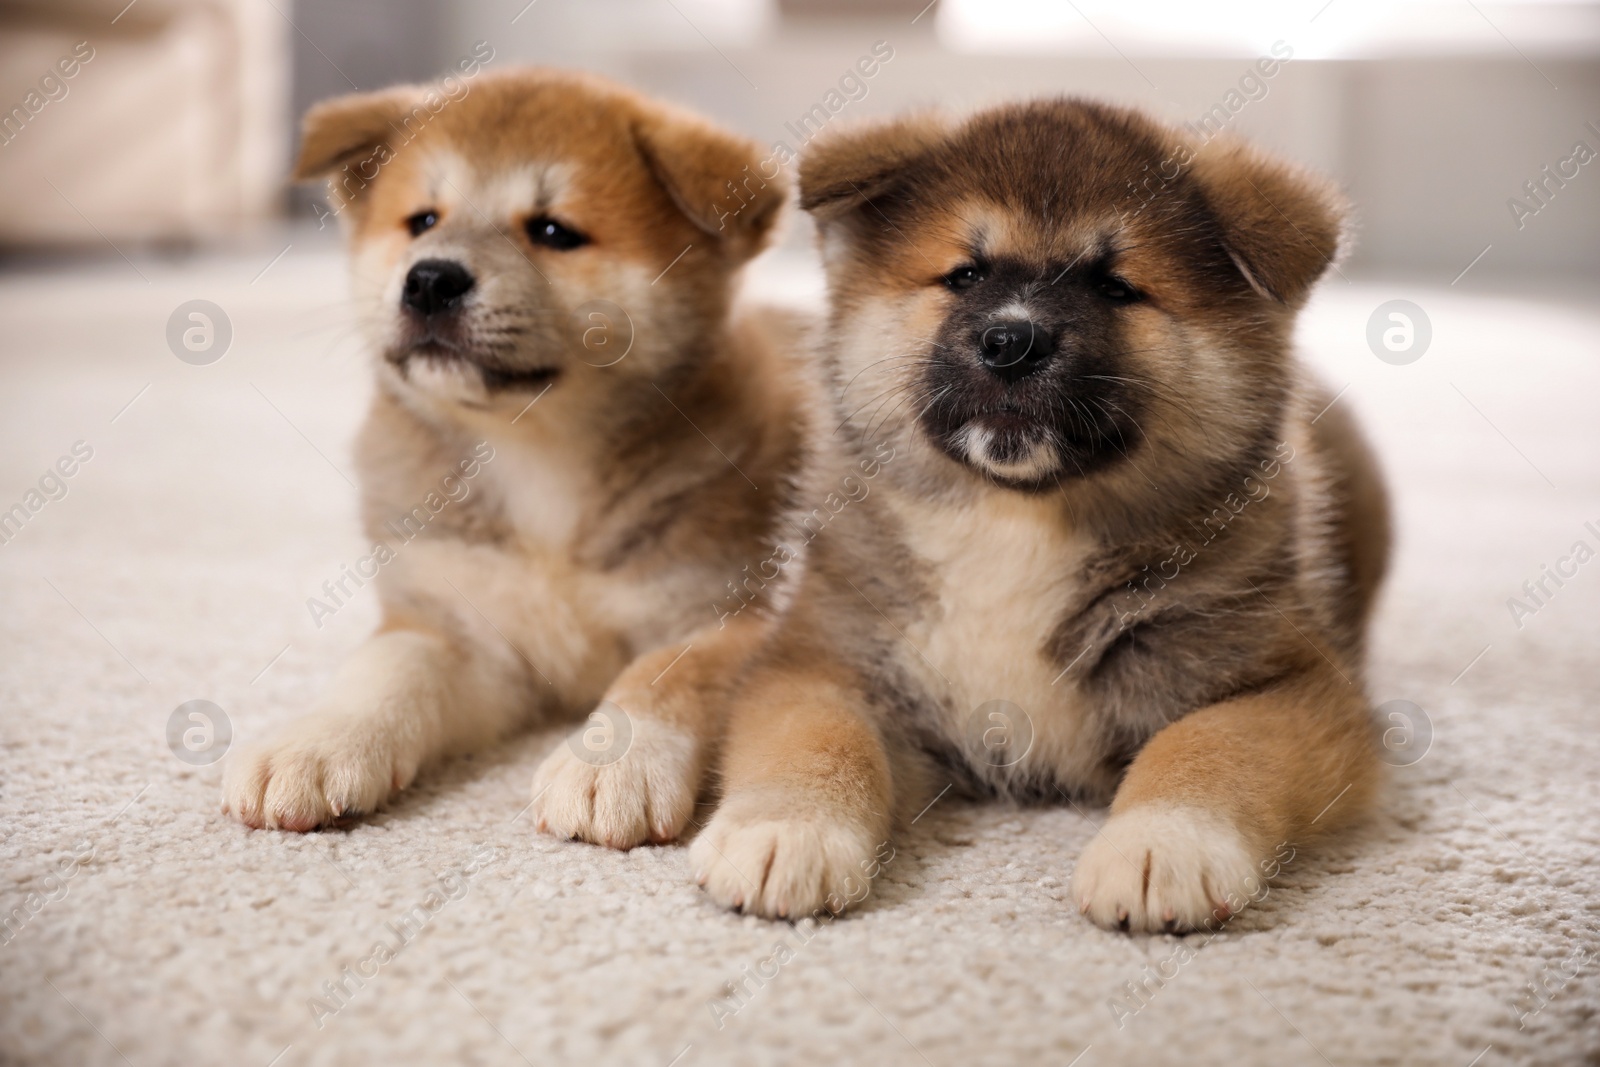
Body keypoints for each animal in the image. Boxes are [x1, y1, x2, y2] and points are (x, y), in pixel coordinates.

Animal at [219, 66, 806, 844]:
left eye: (554, 232)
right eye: (423, 221)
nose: (430, 278)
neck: (539, 461)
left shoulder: (730, 611)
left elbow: (669, 675)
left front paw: (614, 760)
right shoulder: (462, 630)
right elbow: (385, 669)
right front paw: (315, 740)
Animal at [694, 102, 1395, 934]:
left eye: (1116, 287)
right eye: (966, 275)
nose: (1012, 340)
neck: (1016, 525)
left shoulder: (1289, 683)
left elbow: (1208, 745)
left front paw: (1164, 844)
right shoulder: (819, 661)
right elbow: (817, 740)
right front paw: (785, 829)